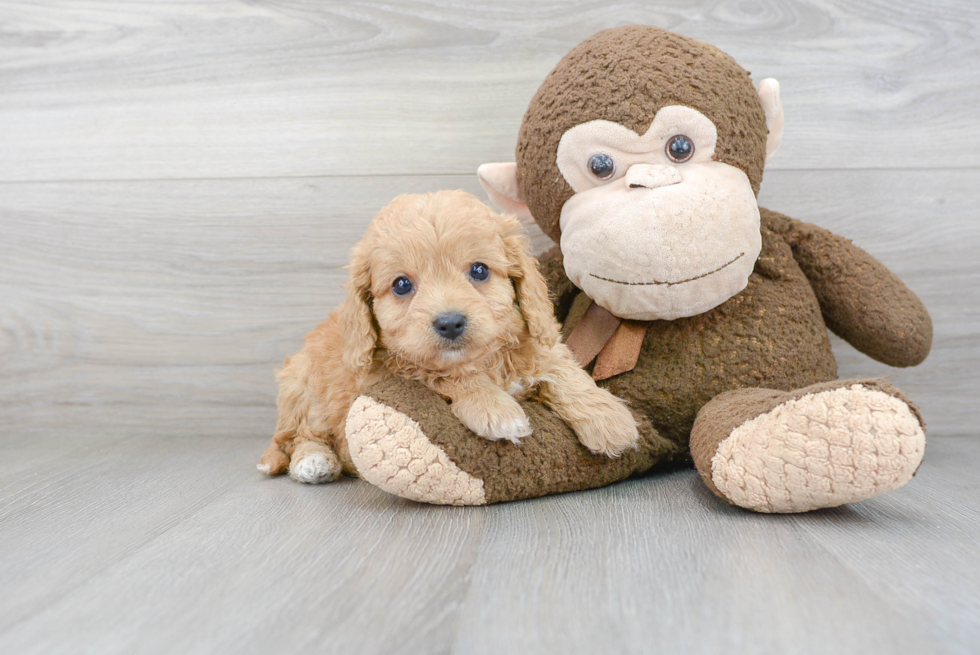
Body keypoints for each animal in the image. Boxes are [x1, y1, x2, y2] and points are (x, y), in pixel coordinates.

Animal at [260, 192, 640, 484]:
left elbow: (563, 370)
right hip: (305, 392)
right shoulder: (395, 369)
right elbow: (444, 373)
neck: (485, 359)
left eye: (479, 270)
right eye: (401, 285)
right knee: (298, 438)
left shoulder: (537, 342)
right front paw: (494, 408)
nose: (450, 323)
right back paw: (314, 462)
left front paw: (610, 419)